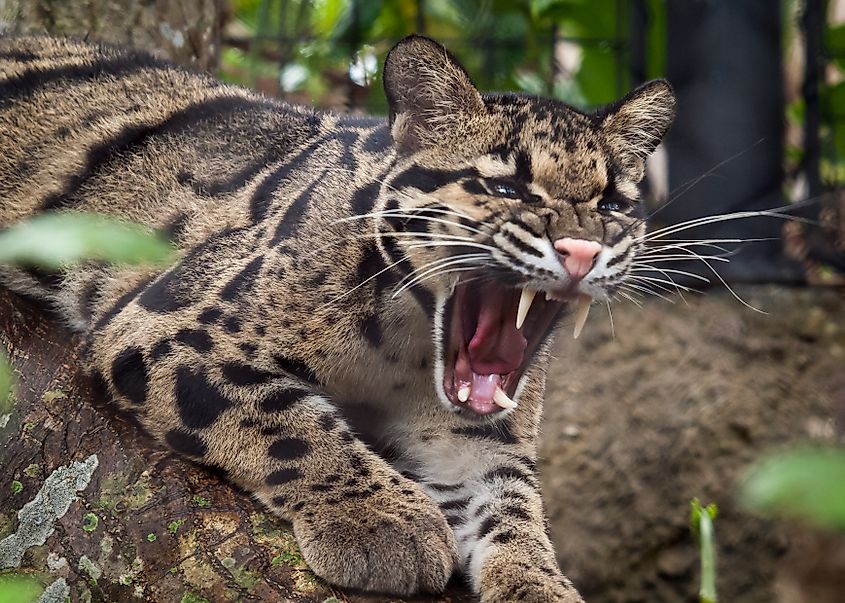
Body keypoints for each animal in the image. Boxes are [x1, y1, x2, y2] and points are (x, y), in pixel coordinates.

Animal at [0, 33, 674, 602]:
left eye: (613, 205)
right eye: (506, 189)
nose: (582, 251)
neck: (407, 348)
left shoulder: (474, 441)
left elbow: (513, 511)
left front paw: (539, 585)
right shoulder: (166, 328)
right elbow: (289, 422)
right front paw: (382, 520)